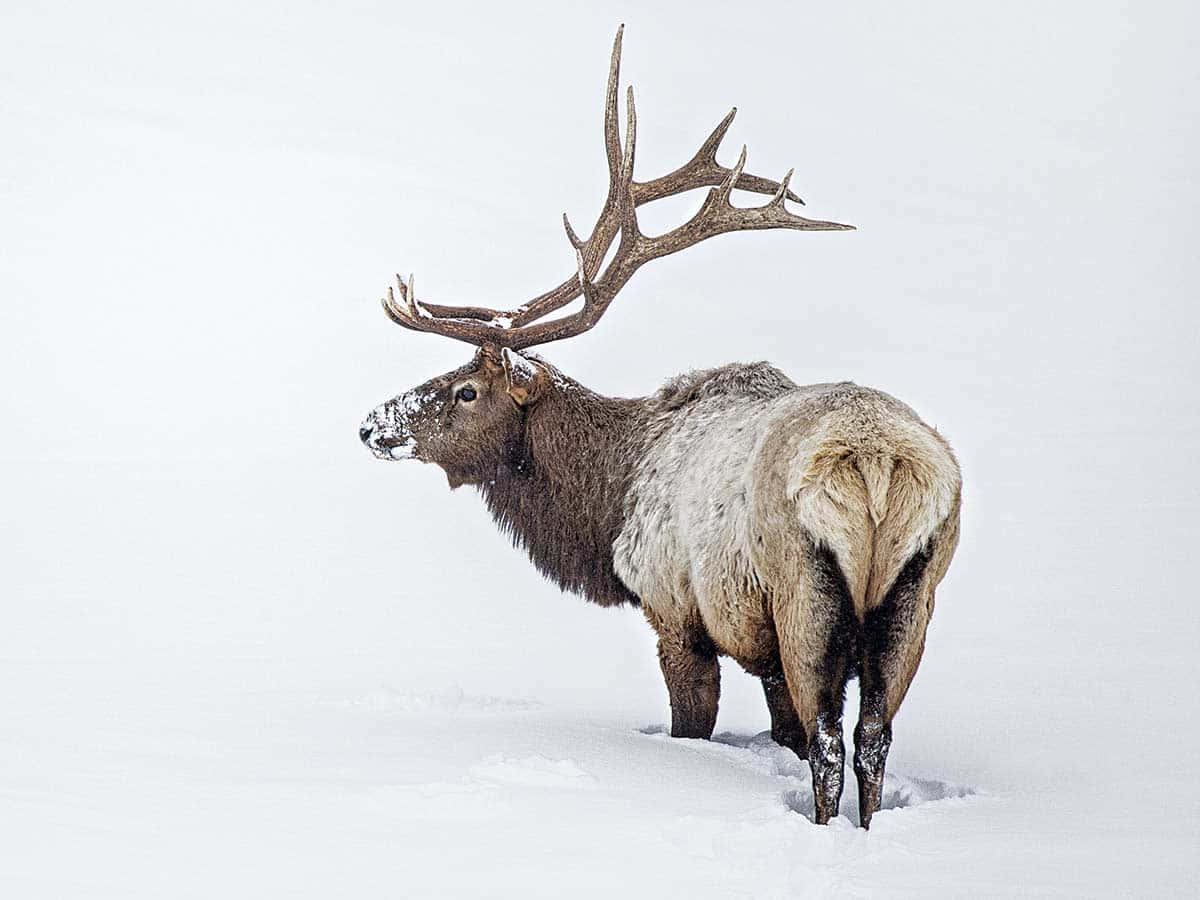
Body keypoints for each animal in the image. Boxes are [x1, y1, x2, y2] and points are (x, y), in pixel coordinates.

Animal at [359, 27, 961, 828]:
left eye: (465, 390)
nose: (371, 424)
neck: (608, 499)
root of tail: (879, 466)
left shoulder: (677, 612)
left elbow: (699, 725)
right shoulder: (761, 647)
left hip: (806, 594)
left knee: (833, 742)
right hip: (914, 596)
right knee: (871, 736)